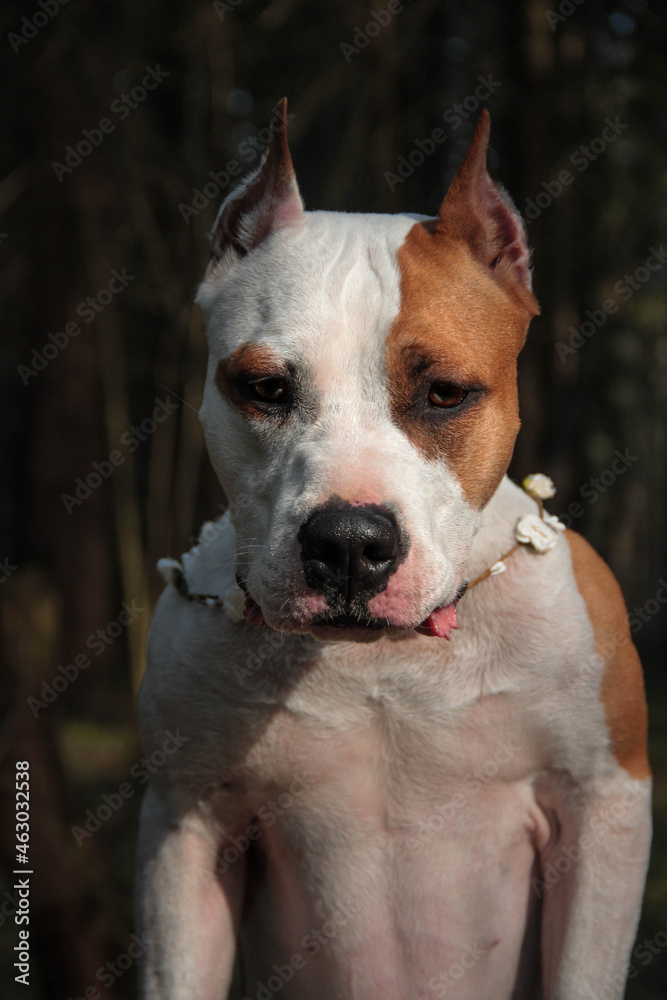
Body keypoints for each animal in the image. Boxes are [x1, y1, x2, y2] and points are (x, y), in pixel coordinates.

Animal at [136, 103, 652, 1000]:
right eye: (265, 388)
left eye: (445, 393)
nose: (348, 543)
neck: (380, 663)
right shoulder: (184, 822)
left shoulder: (604, 802)